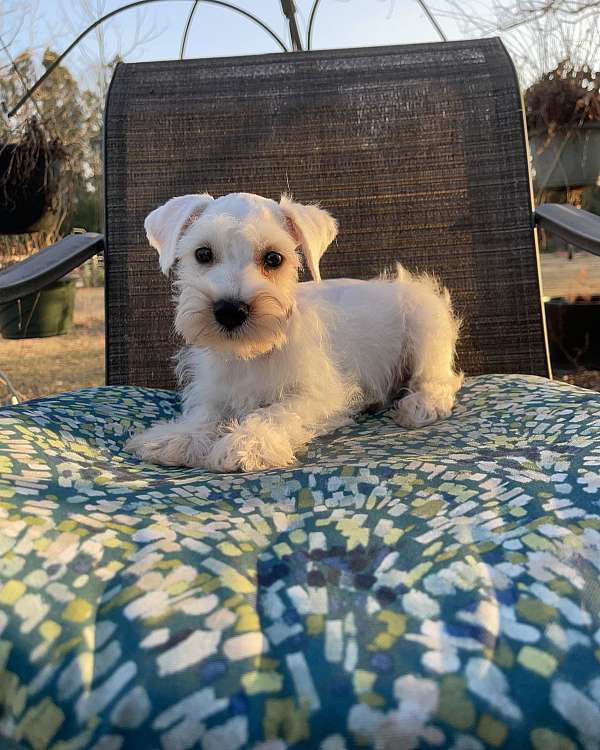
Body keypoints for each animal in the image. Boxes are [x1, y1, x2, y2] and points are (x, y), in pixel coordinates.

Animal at [126, 191, 464, 472]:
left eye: (273, 258)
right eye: (203, 254)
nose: (230, 311)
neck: (252, 356)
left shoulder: (317, 395)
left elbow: (275, 412)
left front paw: (247, 443)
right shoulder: (213, 390)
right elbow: (205, 413)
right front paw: (178, 436)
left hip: (425, 320)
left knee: (439, 378)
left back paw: (421, 405)